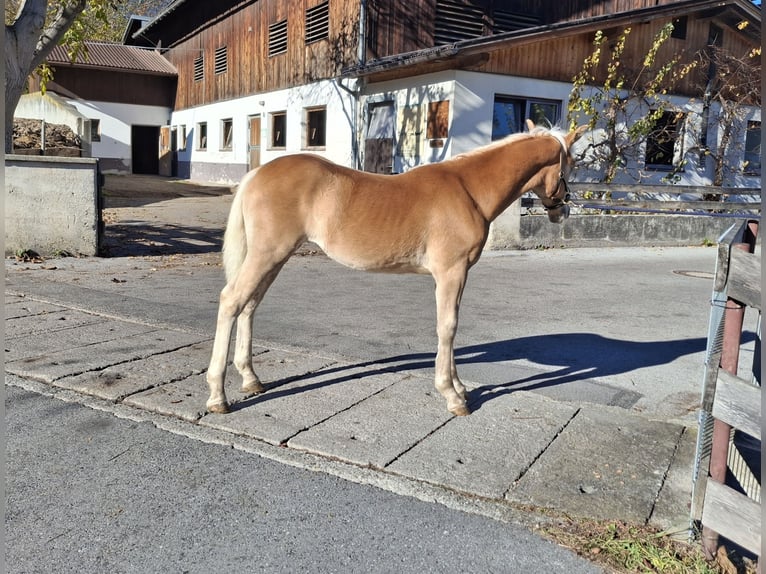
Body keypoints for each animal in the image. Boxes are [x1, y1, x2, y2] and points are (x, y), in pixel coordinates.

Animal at [205, 121, 587, 417]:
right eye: (570, 167)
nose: (563, 211)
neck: (469, 190)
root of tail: (256, 173)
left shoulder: (458, 275)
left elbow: (451, 326)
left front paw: (460, 386)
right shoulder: (451, 272)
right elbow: (448, 327)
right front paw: (453, 396)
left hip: (273, 257)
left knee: (250, 306)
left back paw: (251, 379)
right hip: (268, 254)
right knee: (231, 301)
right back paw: (217, 396)